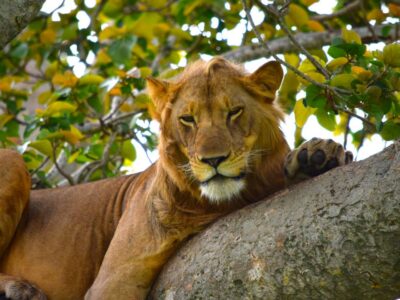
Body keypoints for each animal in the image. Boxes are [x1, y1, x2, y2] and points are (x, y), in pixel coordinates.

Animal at [0, 57, 352, 298]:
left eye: (234, 112)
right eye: (188, 119)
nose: (213, 160)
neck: (212, 205)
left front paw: (318, 156)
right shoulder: (113, 279)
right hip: (12, 159)